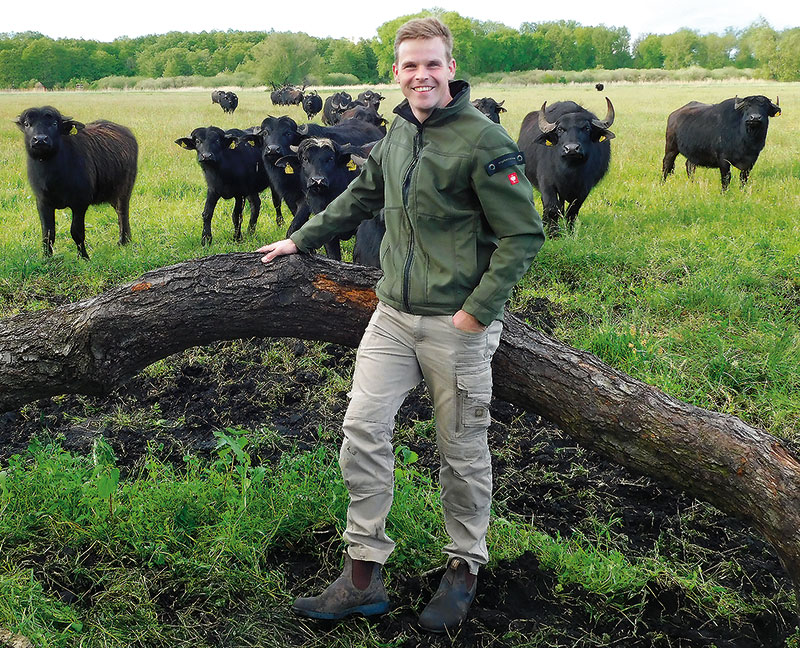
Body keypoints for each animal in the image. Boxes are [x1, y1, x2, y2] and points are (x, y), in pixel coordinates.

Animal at [14, 105, 138, 258]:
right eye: (27, 124)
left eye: (54, 124)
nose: (40, 140)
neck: (52, 176)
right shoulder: (42, 202)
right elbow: (48, 233)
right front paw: (47, 257)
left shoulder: (80, 203)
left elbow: (77, 232)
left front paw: (83, 257)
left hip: (125, 189)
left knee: (123, 212)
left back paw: (123, 240)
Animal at [516, 97, 616, 237]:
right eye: (560, 129)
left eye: (586, 128)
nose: (572, 148)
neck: (570, 171)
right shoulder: (547, 184)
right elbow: (552, 208)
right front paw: (553, 234)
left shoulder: (584, 188)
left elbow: (572, 211)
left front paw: (570, 233)